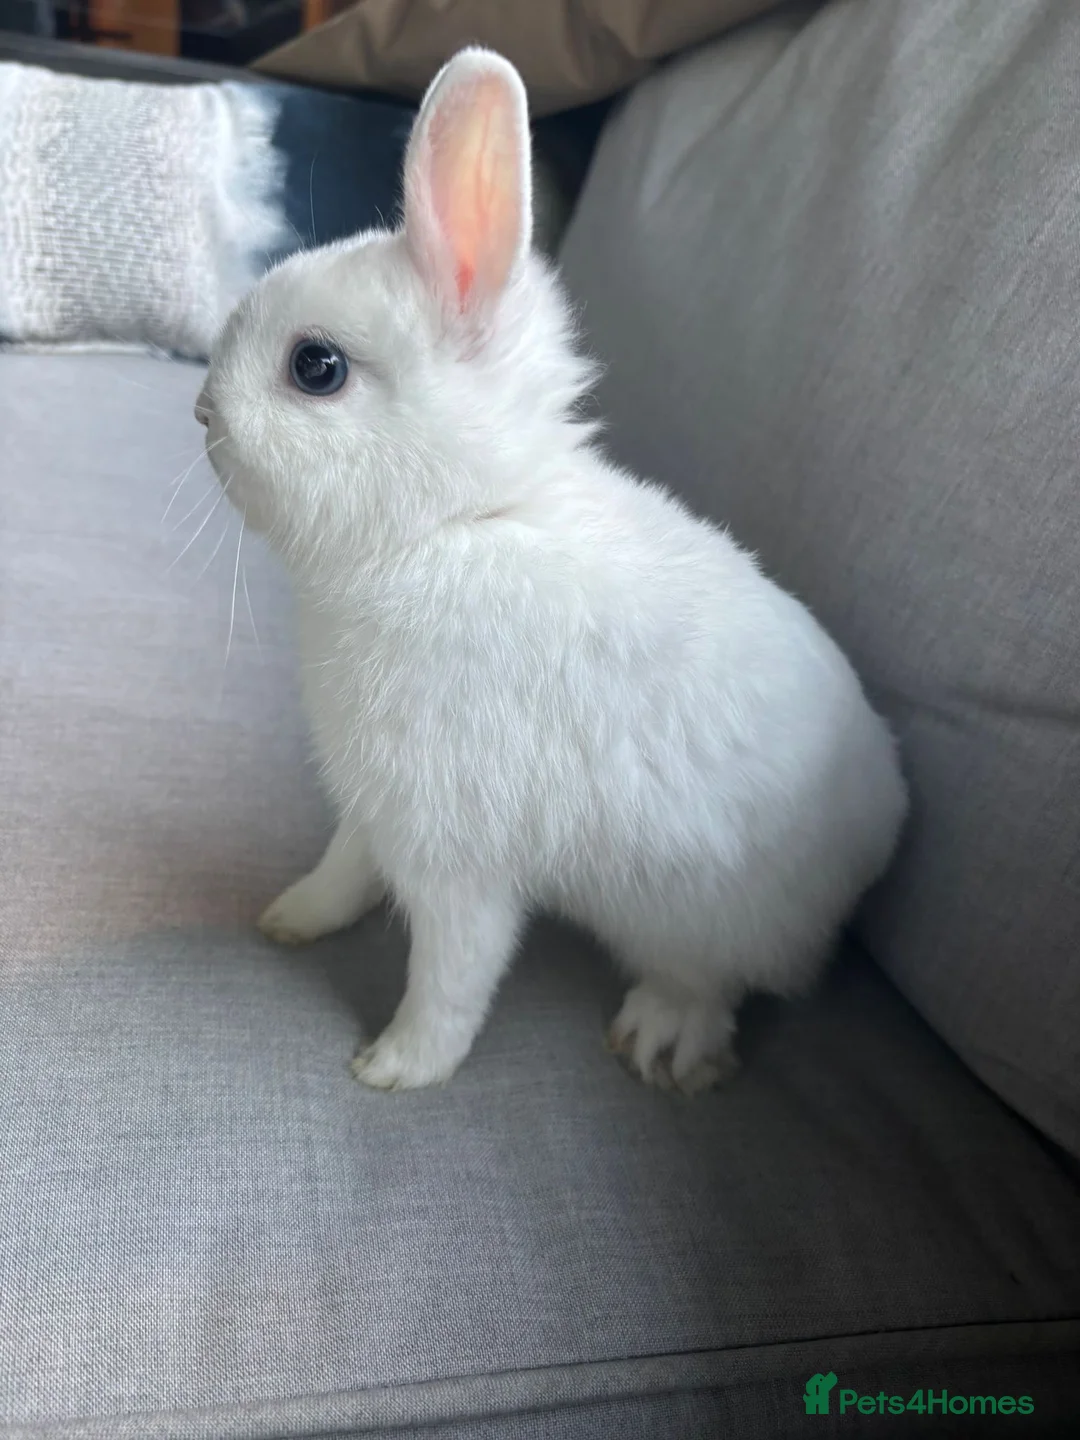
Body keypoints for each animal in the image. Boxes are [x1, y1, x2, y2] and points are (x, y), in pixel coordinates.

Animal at [193, 47, 908, 1095]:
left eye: (315, 367)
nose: (201, 409)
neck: (453, 525)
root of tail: (883, 834)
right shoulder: (375, 806)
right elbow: (344, 870)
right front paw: (291, 918)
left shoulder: (455, 851)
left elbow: (453, 972)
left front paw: (397, 1068)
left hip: (703, 918)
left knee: (714, 981)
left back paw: (663, 1042)